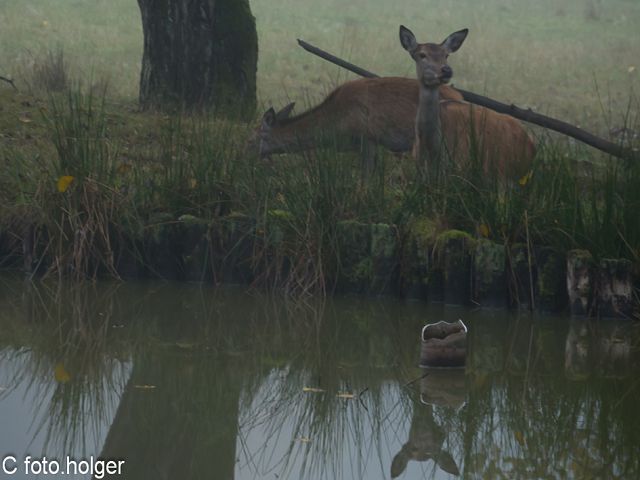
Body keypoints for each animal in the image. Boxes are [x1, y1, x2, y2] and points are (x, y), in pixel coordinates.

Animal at [400, 25, 536, 181]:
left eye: (446, 55)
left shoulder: (462, 167)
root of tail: (532, 144)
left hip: (504, 171)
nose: (447, 70)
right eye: (422, 55)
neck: (431, 150)